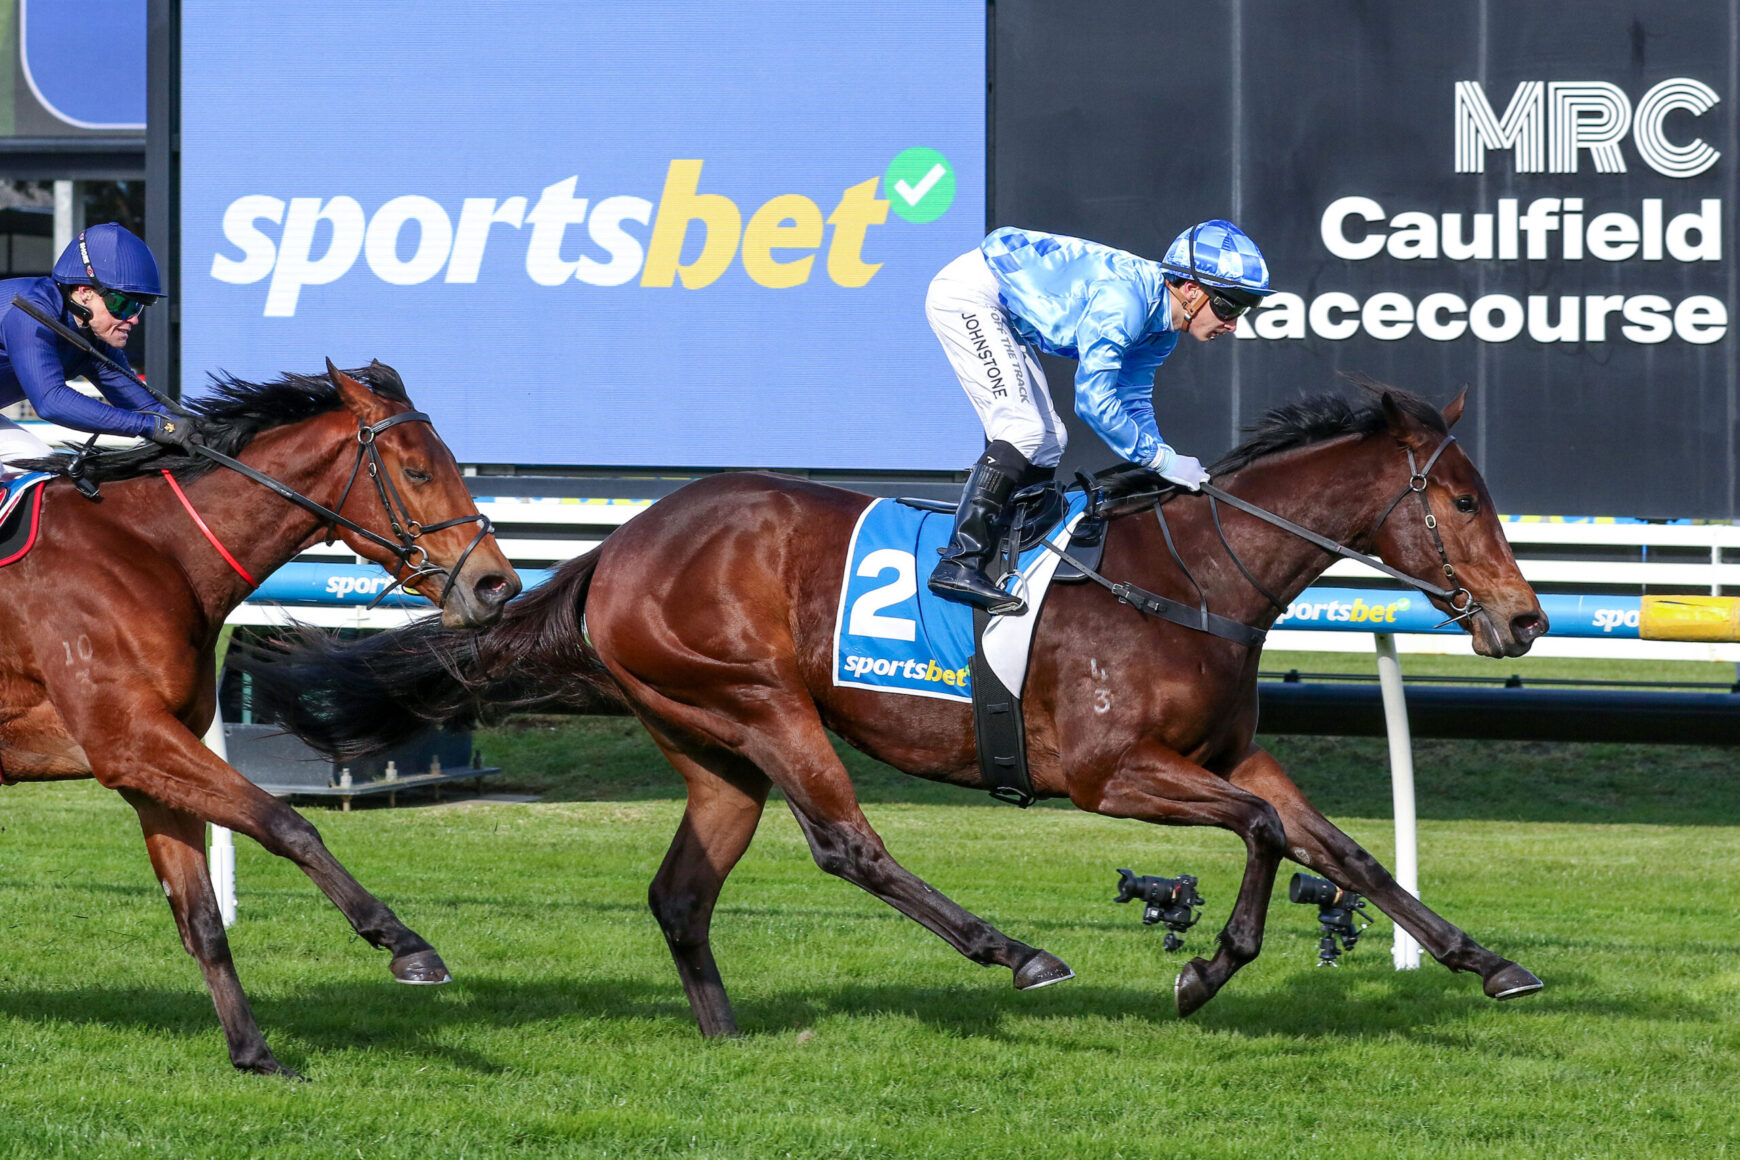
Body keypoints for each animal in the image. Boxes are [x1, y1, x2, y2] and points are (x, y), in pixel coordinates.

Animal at [0, 361, 520, 1077]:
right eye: (417, 470)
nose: (498, 586)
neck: (154, 550)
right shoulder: (128, 738)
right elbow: (286, 823)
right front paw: (405, 944)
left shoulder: (148, 763)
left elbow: (202, 921)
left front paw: (253, 1052)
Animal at [239, 386, 1549, 1037]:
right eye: (1465, 502)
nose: (1526, 616)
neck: (1192, 578)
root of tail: (617, 546)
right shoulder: (1111, 771)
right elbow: (1270, 835)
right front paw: (1202, 964)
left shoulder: (1230, 750)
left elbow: (1340, 845)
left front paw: (1487, 961)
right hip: (762, 703)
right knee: (846, 843)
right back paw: (1014, 951)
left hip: (710, 745)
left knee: (681, 890)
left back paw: (728, 1036)